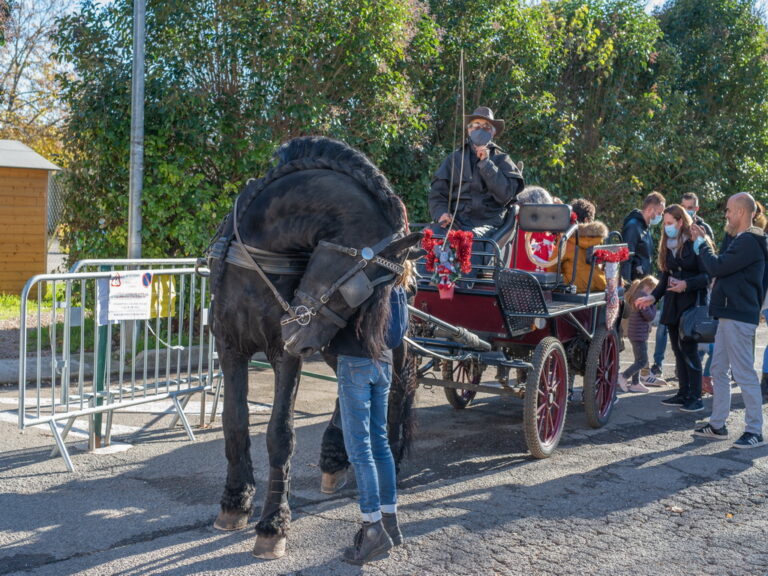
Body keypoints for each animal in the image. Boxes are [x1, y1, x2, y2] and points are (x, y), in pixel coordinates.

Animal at [206, 135, 420, 560]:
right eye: (361, 287)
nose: (296, 332)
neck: (263, 252)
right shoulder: (229, 345)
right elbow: (234, 421)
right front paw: (235, 502)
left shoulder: (285, 354)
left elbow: (280, 433)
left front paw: (273, 525)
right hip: (333, 342)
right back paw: (336, 457)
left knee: (396, 387)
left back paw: (388, 451)